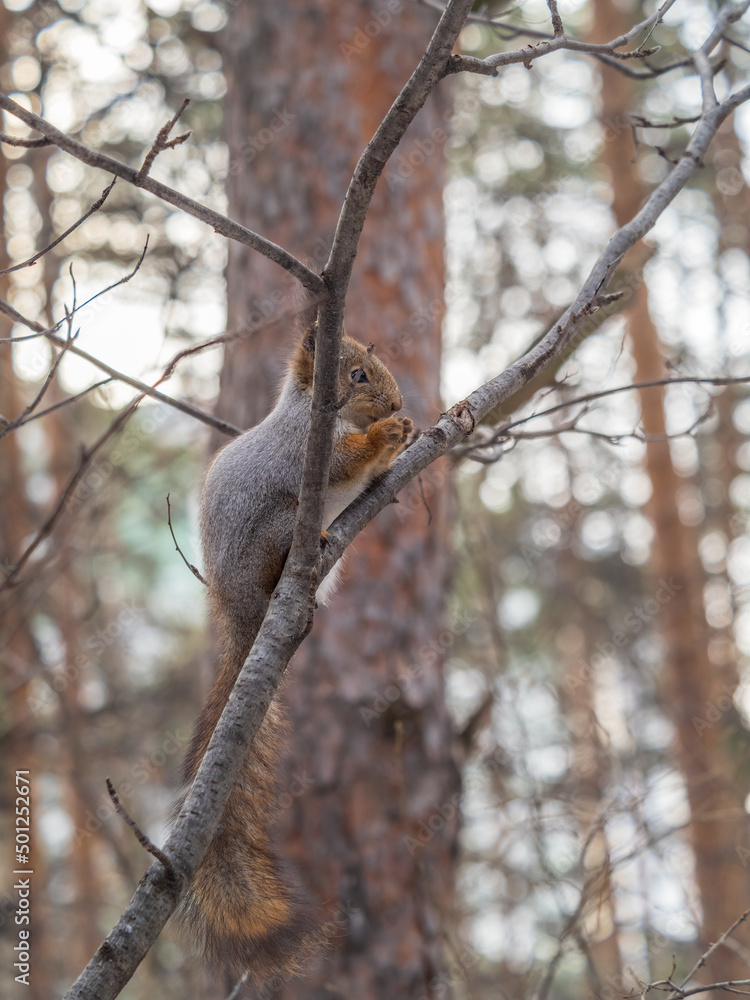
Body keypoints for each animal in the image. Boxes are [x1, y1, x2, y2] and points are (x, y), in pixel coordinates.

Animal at [176, 321, 412, 984]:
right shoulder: (309, 451)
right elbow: (346, 462)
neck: (319, 410)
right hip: (280, 525)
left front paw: (406, 435)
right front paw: (387, 435)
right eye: (356, 375)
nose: (397, 404)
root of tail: (238, 614)